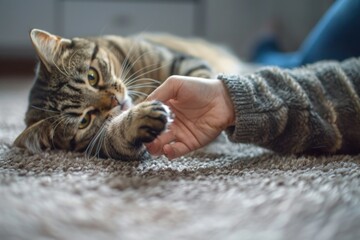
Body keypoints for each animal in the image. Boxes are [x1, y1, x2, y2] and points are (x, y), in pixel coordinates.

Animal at [14, 28, 245, 161]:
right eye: (84, 121)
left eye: (92, 76)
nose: (116, 101)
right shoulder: (104, 144)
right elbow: (117, 138)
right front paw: (139, 118)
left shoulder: (182, 61)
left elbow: (199, 76)